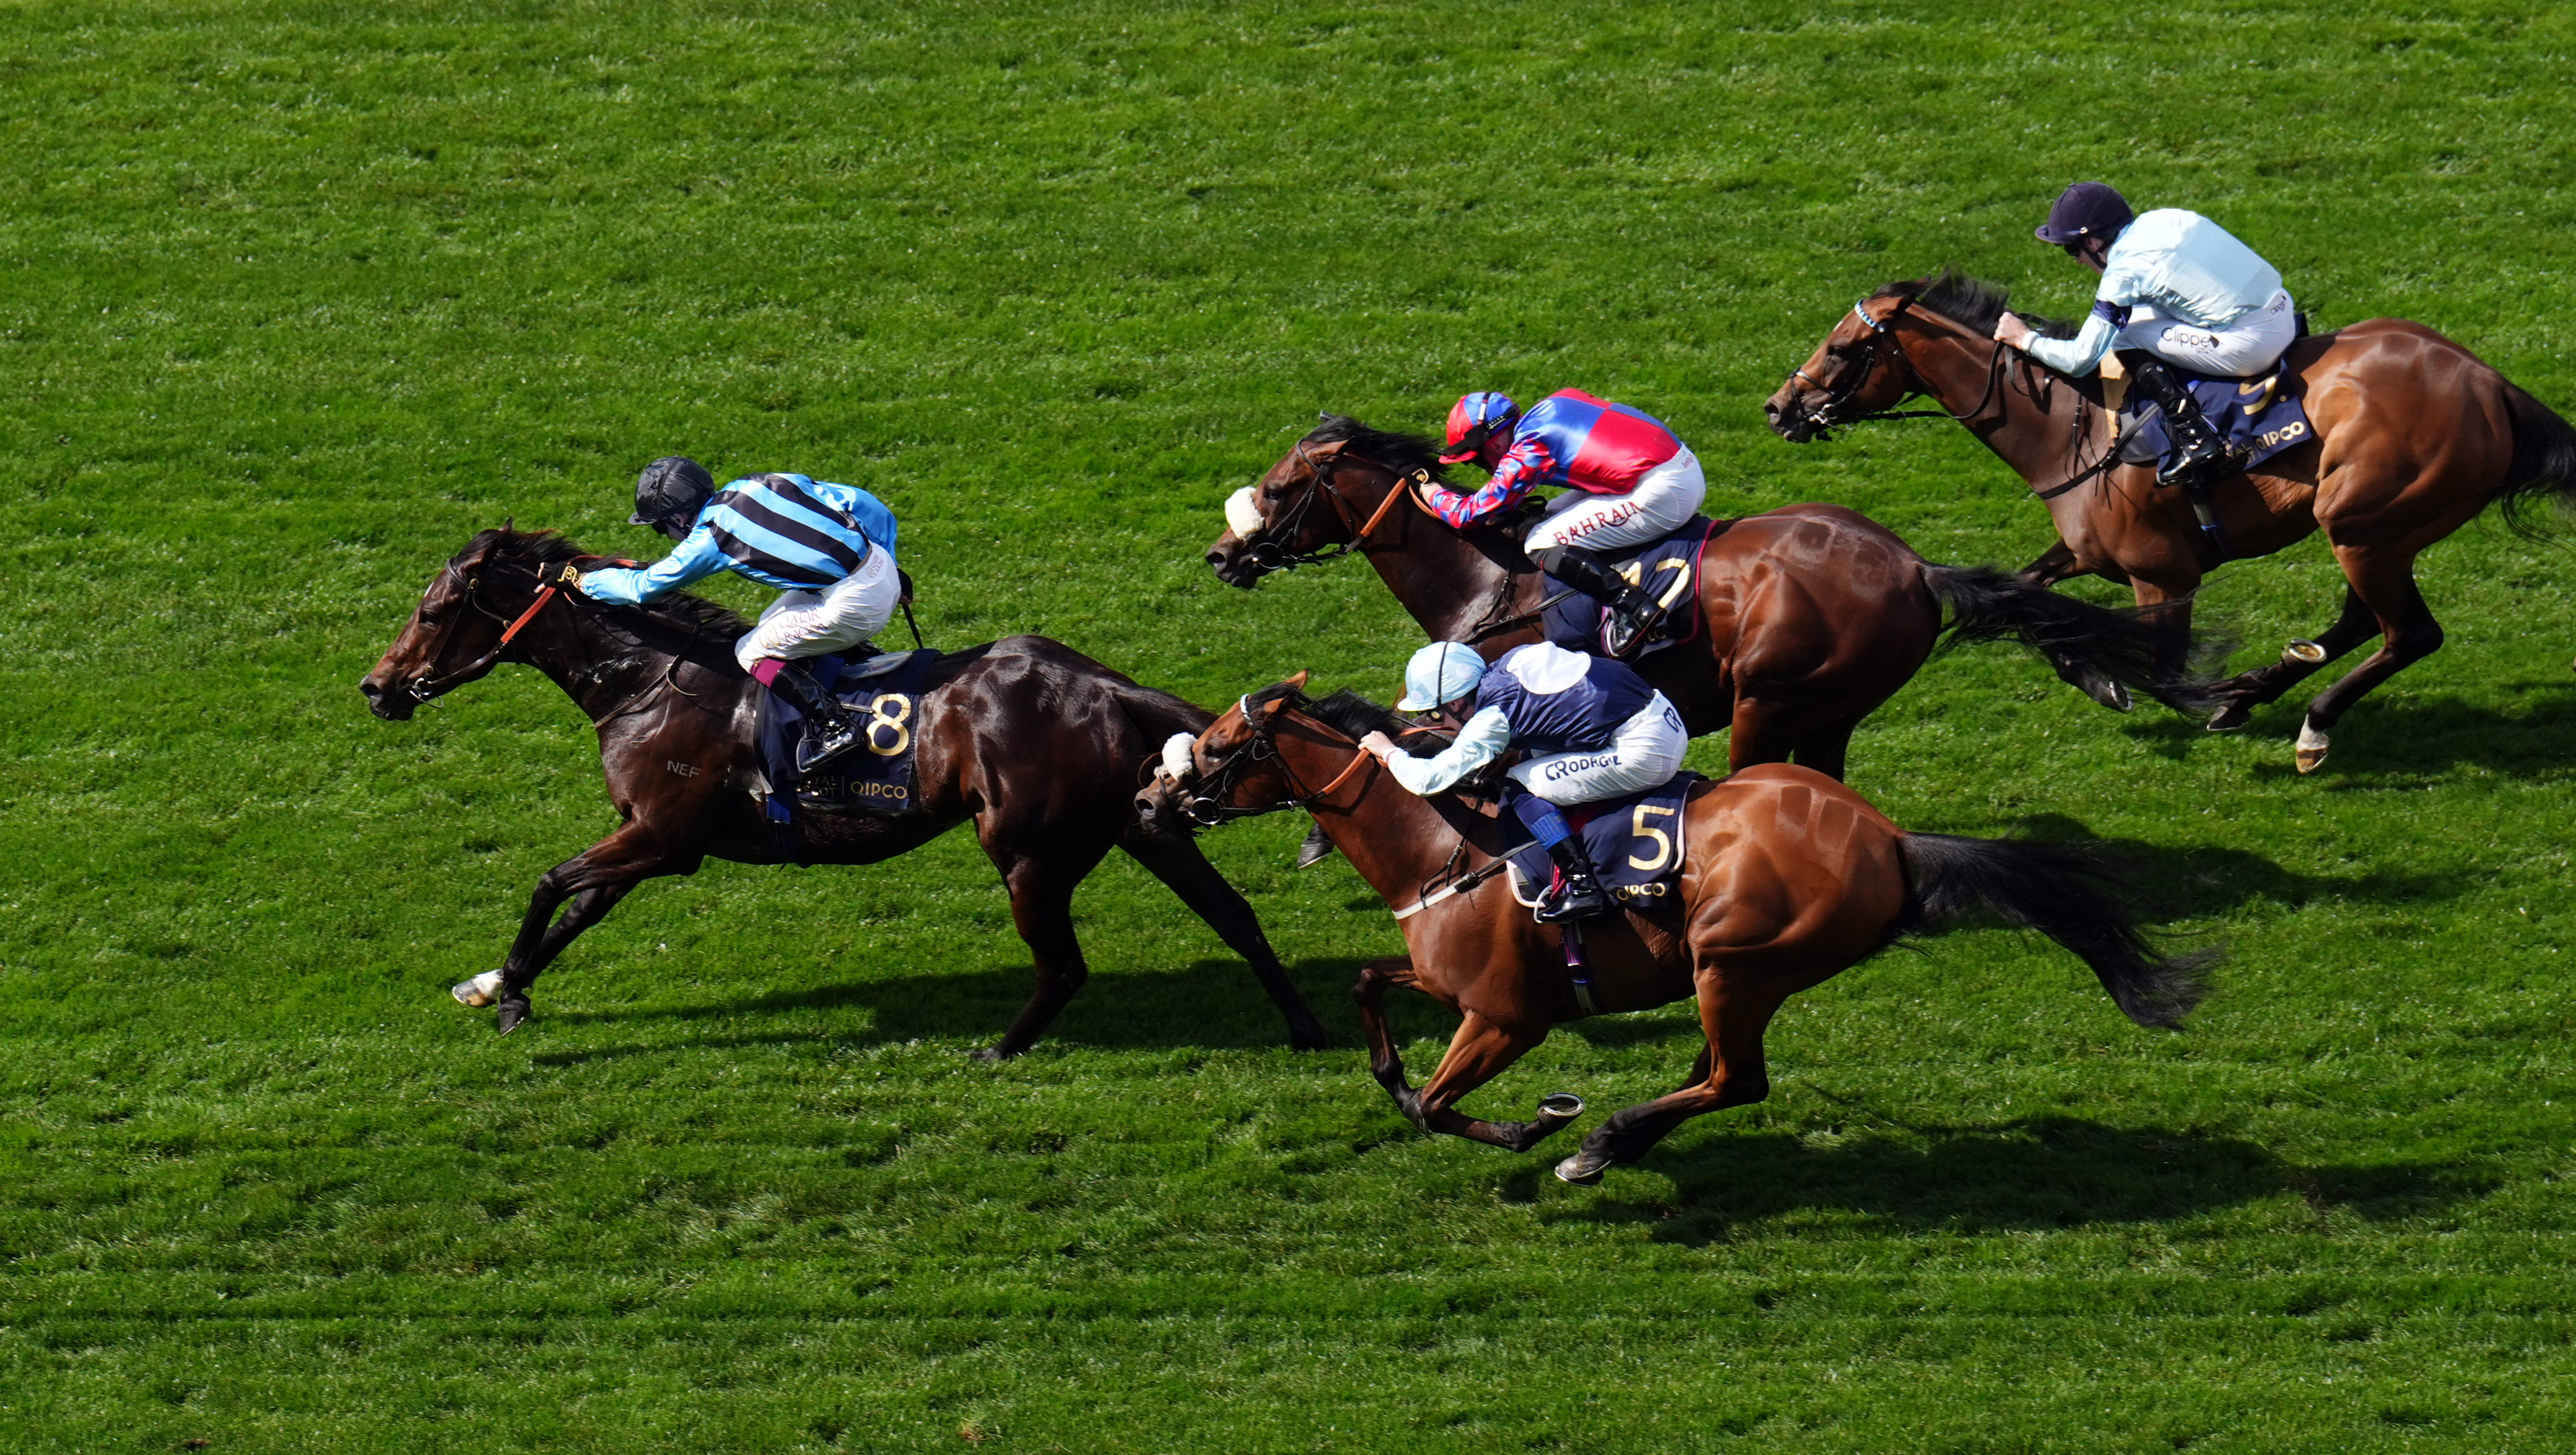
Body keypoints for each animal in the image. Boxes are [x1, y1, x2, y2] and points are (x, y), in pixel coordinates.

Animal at [363, 523, 1329, 1056]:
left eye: (434, 612)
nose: (377, 688)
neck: (646, 681)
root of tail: (1104, 684)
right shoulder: (655, 840)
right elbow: (575, 911)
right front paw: (500, 983)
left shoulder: (664, 836)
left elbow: (550, 882)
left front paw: (507, 998)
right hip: (1141, 823)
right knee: (1236, 917)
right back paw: (1303, 1028)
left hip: (1026, 850)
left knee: (1063, 966)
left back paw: (997, 1053)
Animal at [1138, 674, 2205, 1184]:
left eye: (1224, 747)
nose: (1149, 799)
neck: (1442, 843)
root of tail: (1892, 840)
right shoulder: (1448, 982)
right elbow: (1370, 991)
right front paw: (1395, 1077)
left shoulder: (1506, 1016)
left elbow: (1444, 1107)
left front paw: (1534, 1125)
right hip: (1731, 974)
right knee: (1715, 1072)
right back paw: (1619, 1141)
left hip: (1735, 962)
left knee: (1736, 1079)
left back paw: (1599, 1141)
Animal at [1195, 412, 2226, 783]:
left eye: (1279, 491)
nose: (1220, 555)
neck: (1488, 579)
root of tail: (1913, 568)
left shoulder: (1481, 704)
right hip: (1836, 706)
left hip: (1769, 696)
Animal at [1762, 270, 2576, 772]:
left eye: (1841, 349)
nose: (1778, 408)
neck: (2069, 427)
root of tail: (2490, 384)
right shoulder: (2085, 551)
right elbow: (2031, 600)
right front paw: (2098, 676)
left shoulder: (2162, 575)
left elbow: (2158, 668)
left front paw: (2162, 688)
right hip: (2371, 530)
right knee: (2363, 624)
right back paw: (2256, 691)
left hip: (2365, 524)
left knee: (2409, 634)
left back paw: (2308, 723)